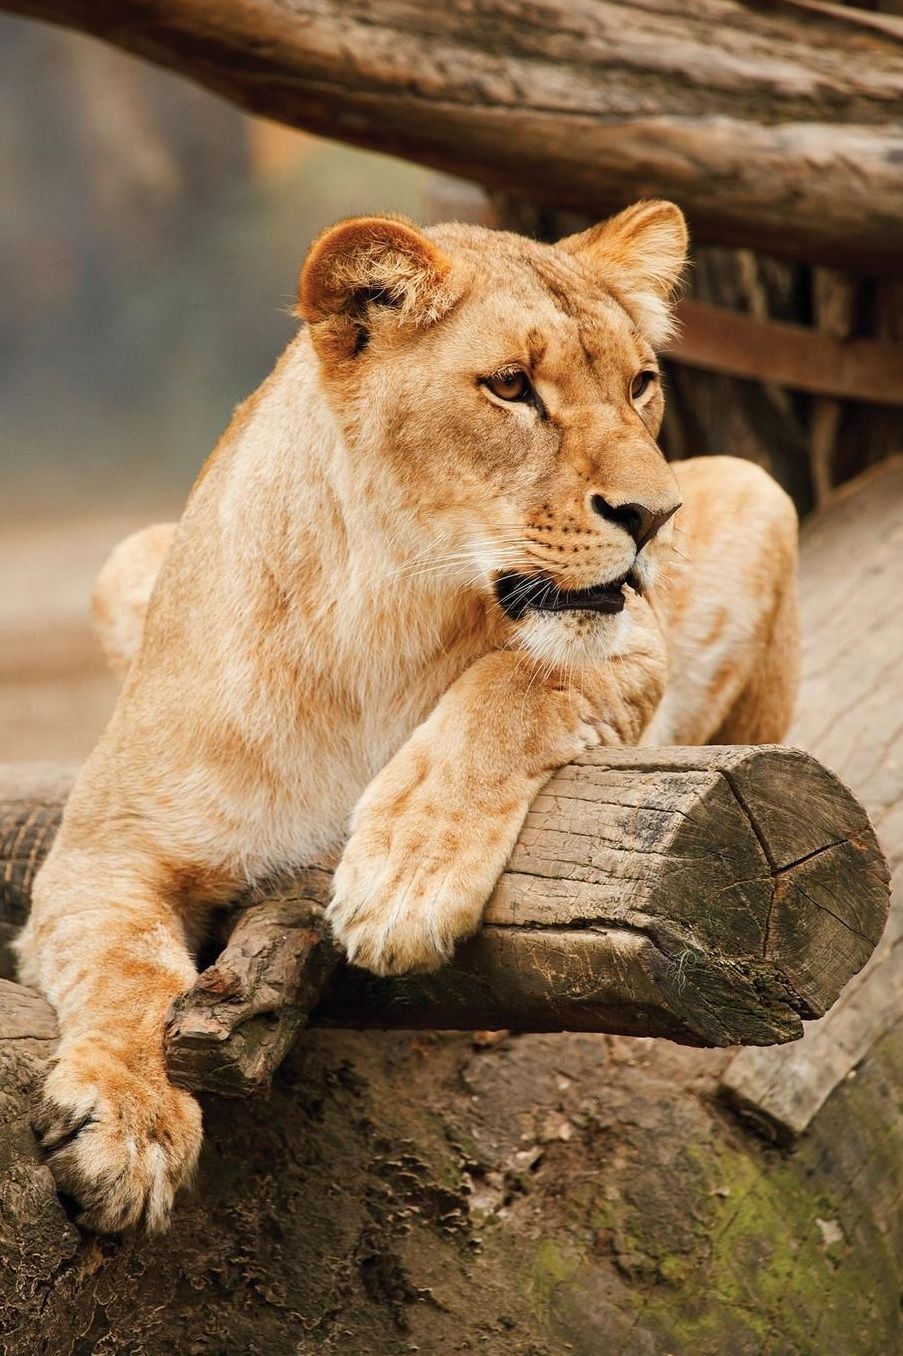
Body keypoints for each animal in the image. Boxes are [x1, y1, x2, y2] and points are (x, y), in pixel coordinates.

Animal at [17, 201, 798, 1235]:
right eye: (510, 386)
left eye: (641, 384)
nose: (655, 517)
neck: (379, 620)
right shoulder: (104, 847)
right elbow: (125, 969)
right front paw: (129, 1124)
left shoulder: (631, 648)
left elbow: (512, 686)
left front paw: (402, 881)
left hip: (758, 490)